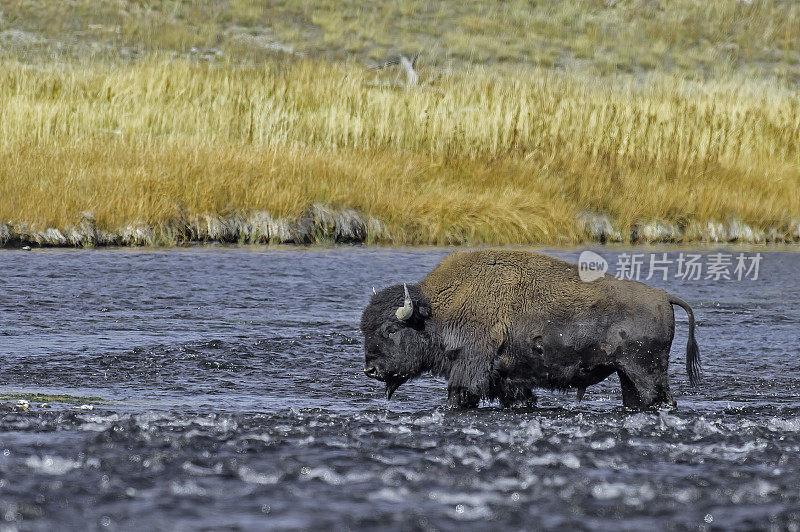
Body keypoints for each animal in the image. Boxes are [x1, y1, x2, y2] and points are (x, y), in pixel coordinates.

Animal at [362, 248, 700, 408]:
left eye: (391, 330)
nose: (371, 370)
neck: (436, 309)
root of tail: (663, 297)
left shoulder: (469, 371)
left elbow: (459, 395)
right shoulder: (510, 381)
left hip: (645, 370)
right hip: (626, 374)